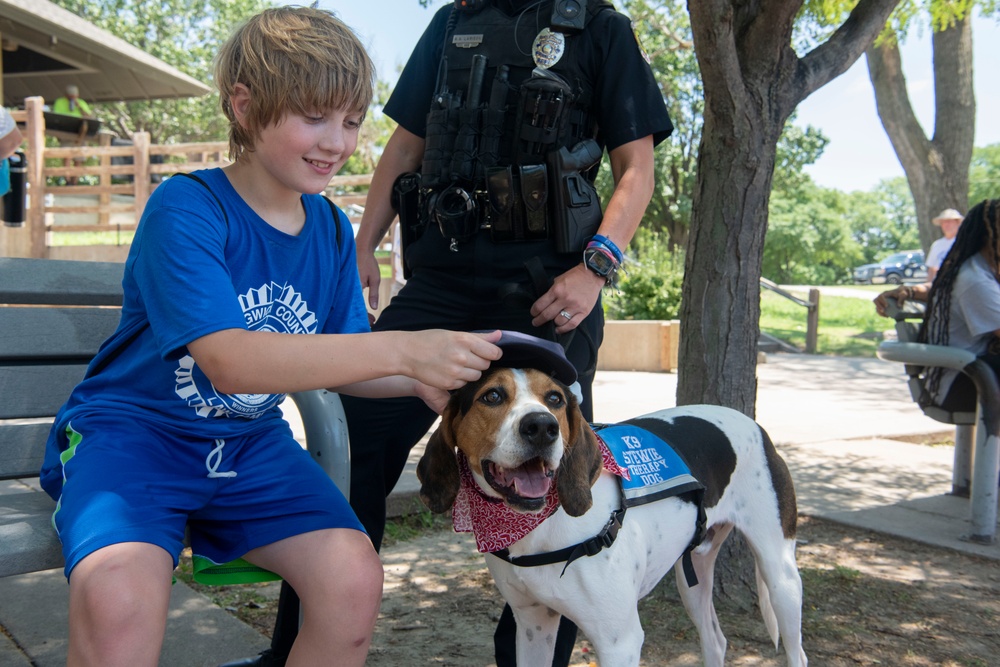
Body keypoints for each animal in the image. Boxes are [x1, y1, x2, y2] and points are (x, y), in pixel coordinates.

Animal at [418, 340, 808, 667]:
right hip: (692, 575)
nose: (542, 427)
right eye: (493, 396)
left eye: (555, 399)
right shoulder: (532, 623)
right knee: (715, 641)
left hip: (780, 576)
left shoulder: (619, 642)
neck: (540, 525)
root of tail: (753, 424)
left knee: (796, 650)